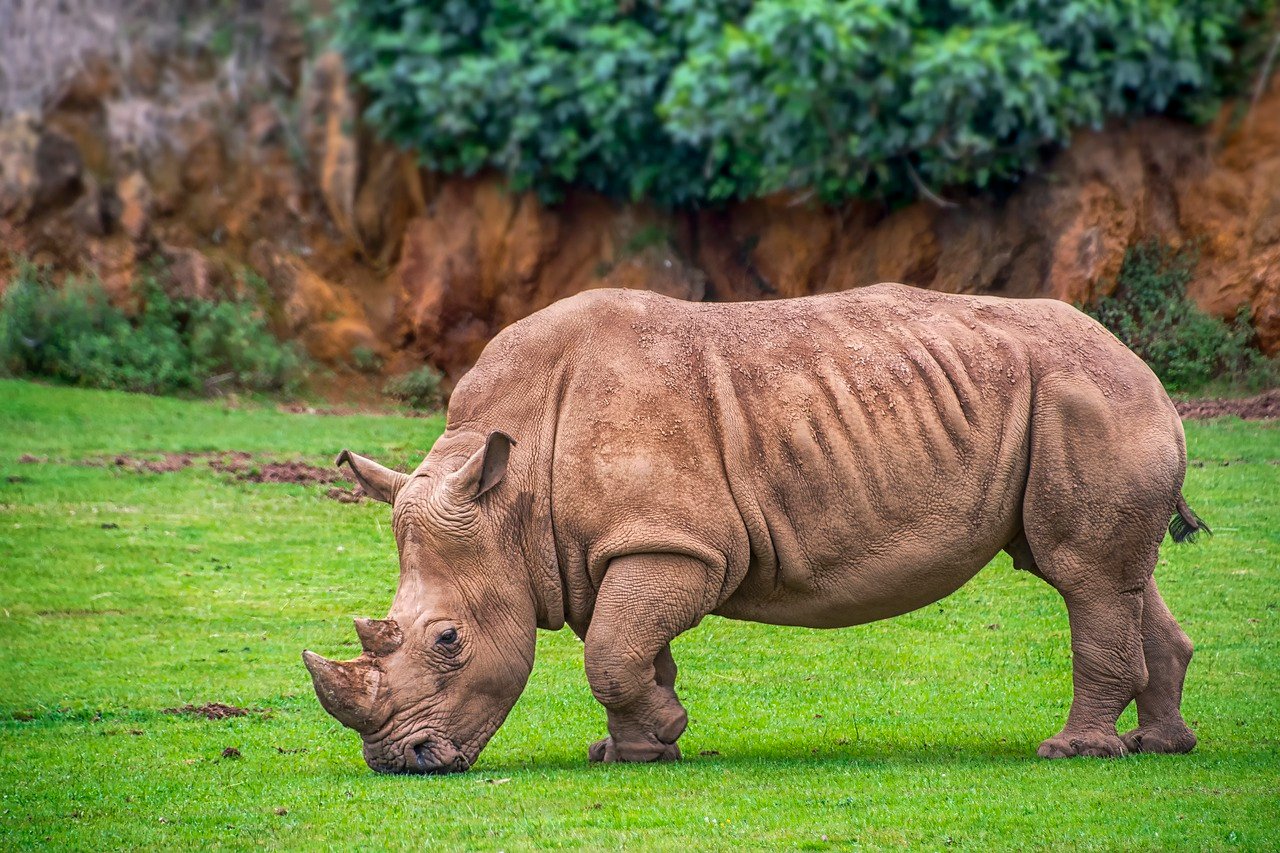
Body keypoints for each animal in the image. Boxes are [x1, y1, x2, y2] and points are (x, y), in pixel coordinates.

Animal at [303, 284, 1207, 774]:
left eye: (448, 639)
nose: (400, 761)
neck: (509, 497)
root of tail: (1143, 367)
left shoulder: (673, 541)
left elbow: (613, 654)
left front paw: (660, 735)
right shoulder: (610, 547)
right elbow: (630, 649)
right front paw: (636, 751)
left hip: (1085, 395)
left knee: (1081, 573)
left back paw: (1073, 753)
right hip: (1080, 399)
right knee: (1113, 576)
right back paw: (1160, 745)